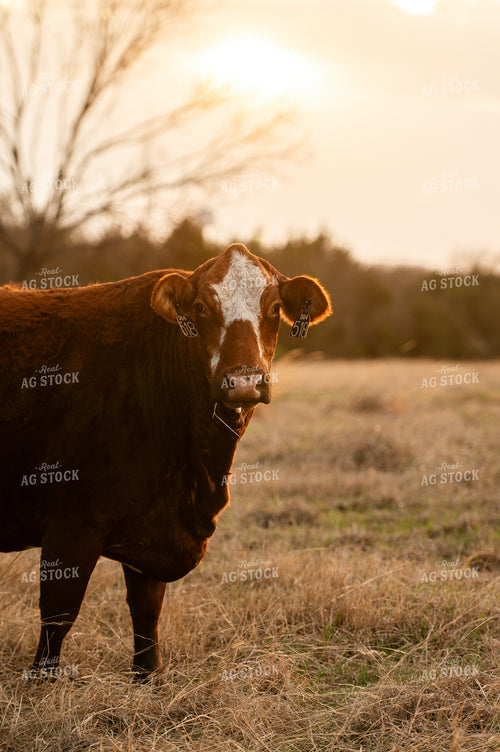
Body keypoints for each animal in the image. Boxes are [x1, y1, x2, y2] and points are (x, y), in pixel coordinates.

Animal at [0, 243, 331, 680]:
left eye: (275, 307)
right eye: (203, 307)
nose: (244, 380)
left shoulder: (150, 532)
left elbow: (146, 615)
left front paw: (148, 678)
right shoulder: (71, 521)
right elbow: (58, 614)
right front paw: (42, 684)